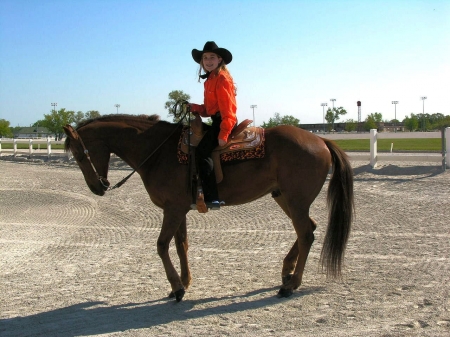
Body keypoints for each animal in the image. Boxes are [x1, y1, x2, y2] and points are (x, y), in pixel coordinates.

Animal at [63, 114, 354, 300]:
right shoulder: (178, 209)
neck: (158, 152)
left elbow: (161, 245)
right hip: (284, 197)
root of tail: (321, 141)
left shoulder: (173, 210)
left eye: (79, 154)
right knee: (309, 229)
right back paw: (286, 271)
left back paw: (291, 285)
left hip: (295, 200)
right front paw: (184, 282)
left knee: (305, 234)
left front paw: (177, 288)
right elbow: (181, 245)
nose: (97, 187)